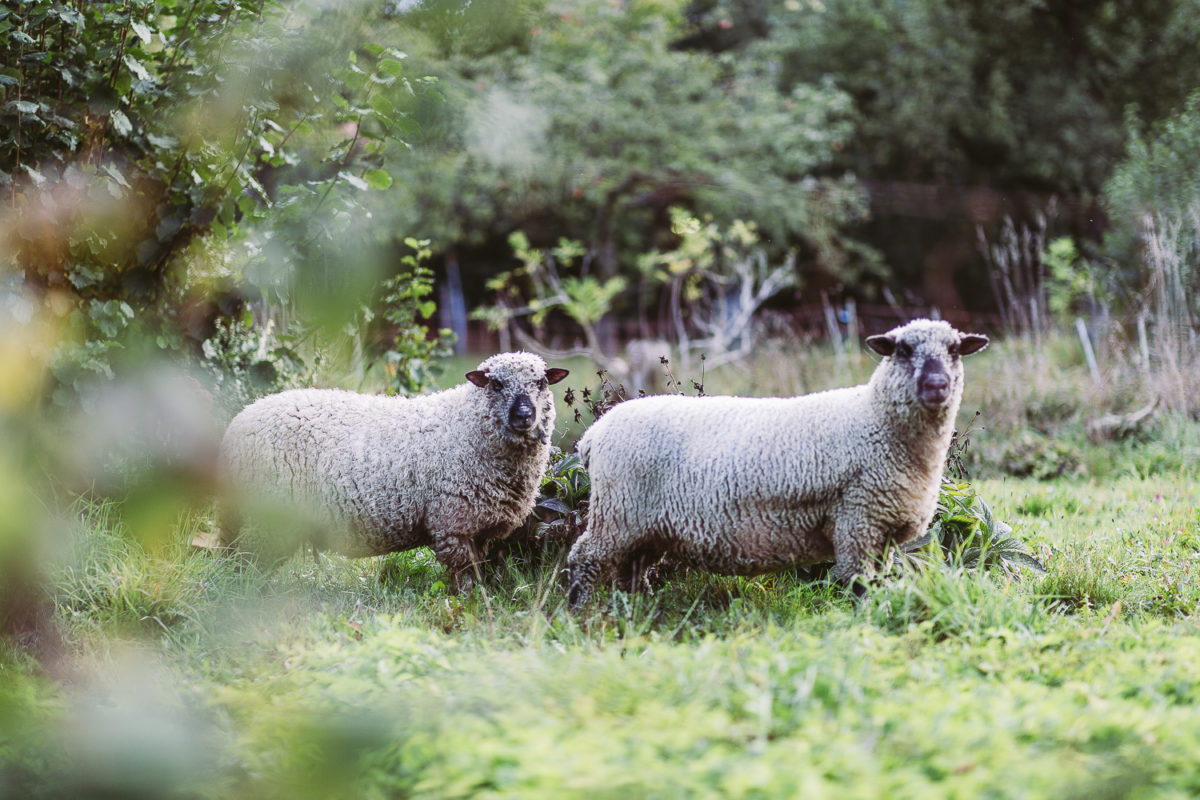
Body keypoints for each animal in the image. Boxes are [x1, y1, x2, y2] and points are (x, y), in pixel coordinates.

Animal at [217, 352, 571, 585]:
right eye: (496, 384)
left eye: (541, 382)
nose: (524, 416)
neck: (466, 424)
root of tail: (236, 425)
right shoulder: (452, 522)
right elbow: (465, 575)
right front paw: (469, 603)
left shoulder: (478, 526)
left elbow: (477, 568)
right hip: (265, 515)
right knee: (246, 564)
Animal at [566, 319, 988, 606]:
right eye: (902, 350)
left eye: (954, 350)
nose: (937, 385)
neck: (875, 420)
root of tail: (594, 435)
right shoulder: (857, 520)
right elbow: (859, 583)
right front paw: (866, 619)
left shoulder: (883, 530)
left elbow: (880, 581)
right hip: (618, 513)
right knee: (585, 557)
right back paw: (578, 613)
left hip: (644, 524)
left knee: (631, 570)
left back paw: (635, 610)